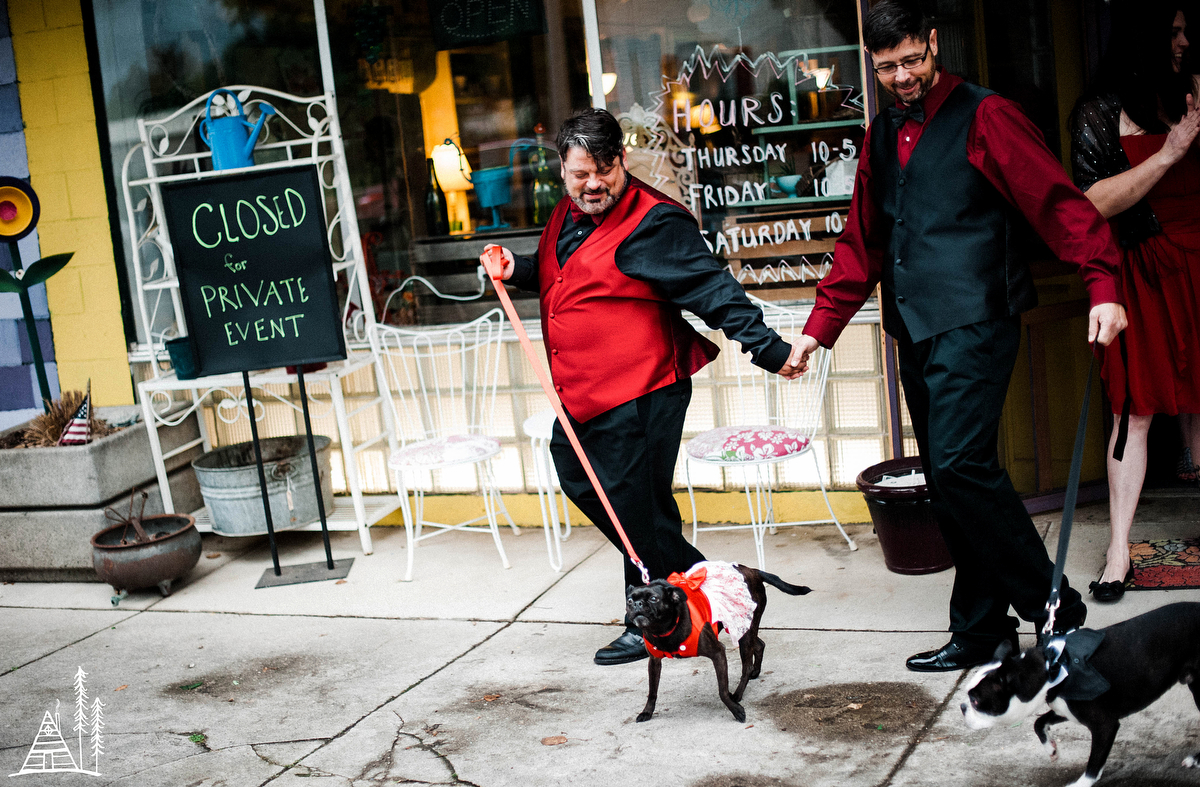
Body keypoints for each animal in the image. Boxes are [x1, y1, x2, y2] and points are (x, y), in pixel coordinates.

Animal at [960, 602, 1200, 787]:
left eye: (976, 701)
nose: (962, 707)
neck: (1052, 668)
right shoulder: (1066, 709)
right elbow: (1039, 722)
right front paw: (1051, 749)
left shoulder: (1105, 725)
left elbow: (1094, 765)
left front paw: (1081, 783)